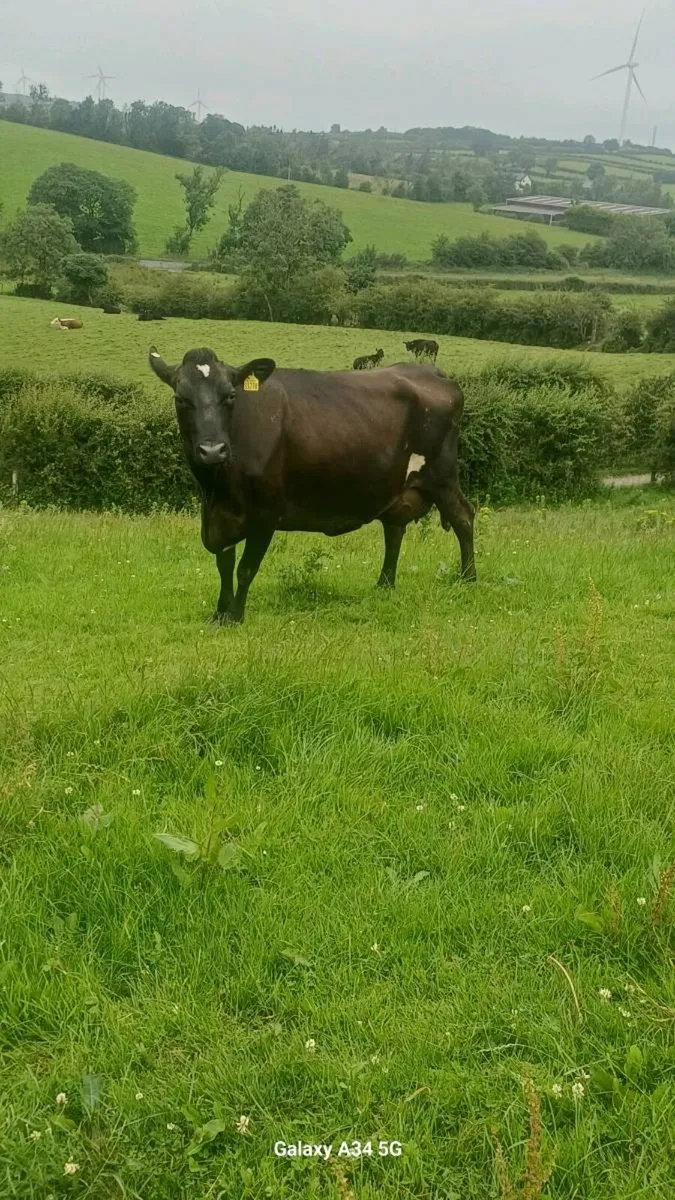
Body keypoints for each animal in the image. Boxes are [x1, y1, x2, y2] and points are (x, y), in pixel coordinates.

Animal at [148, 346, 476, 624]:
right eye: (180, 398)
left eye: (230, 395)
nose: (213, 449)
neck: (217, 488)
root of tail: (433, 372)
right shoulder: (221, 515)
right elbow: (224, 565)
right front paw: (219, 613)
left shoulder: (266, 513)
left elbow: (245, 568)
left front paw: (236, 616)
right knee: (394, 530)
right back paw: (384, 584)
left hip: (442, 475)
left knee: (463, 517)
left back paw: (468, 578)